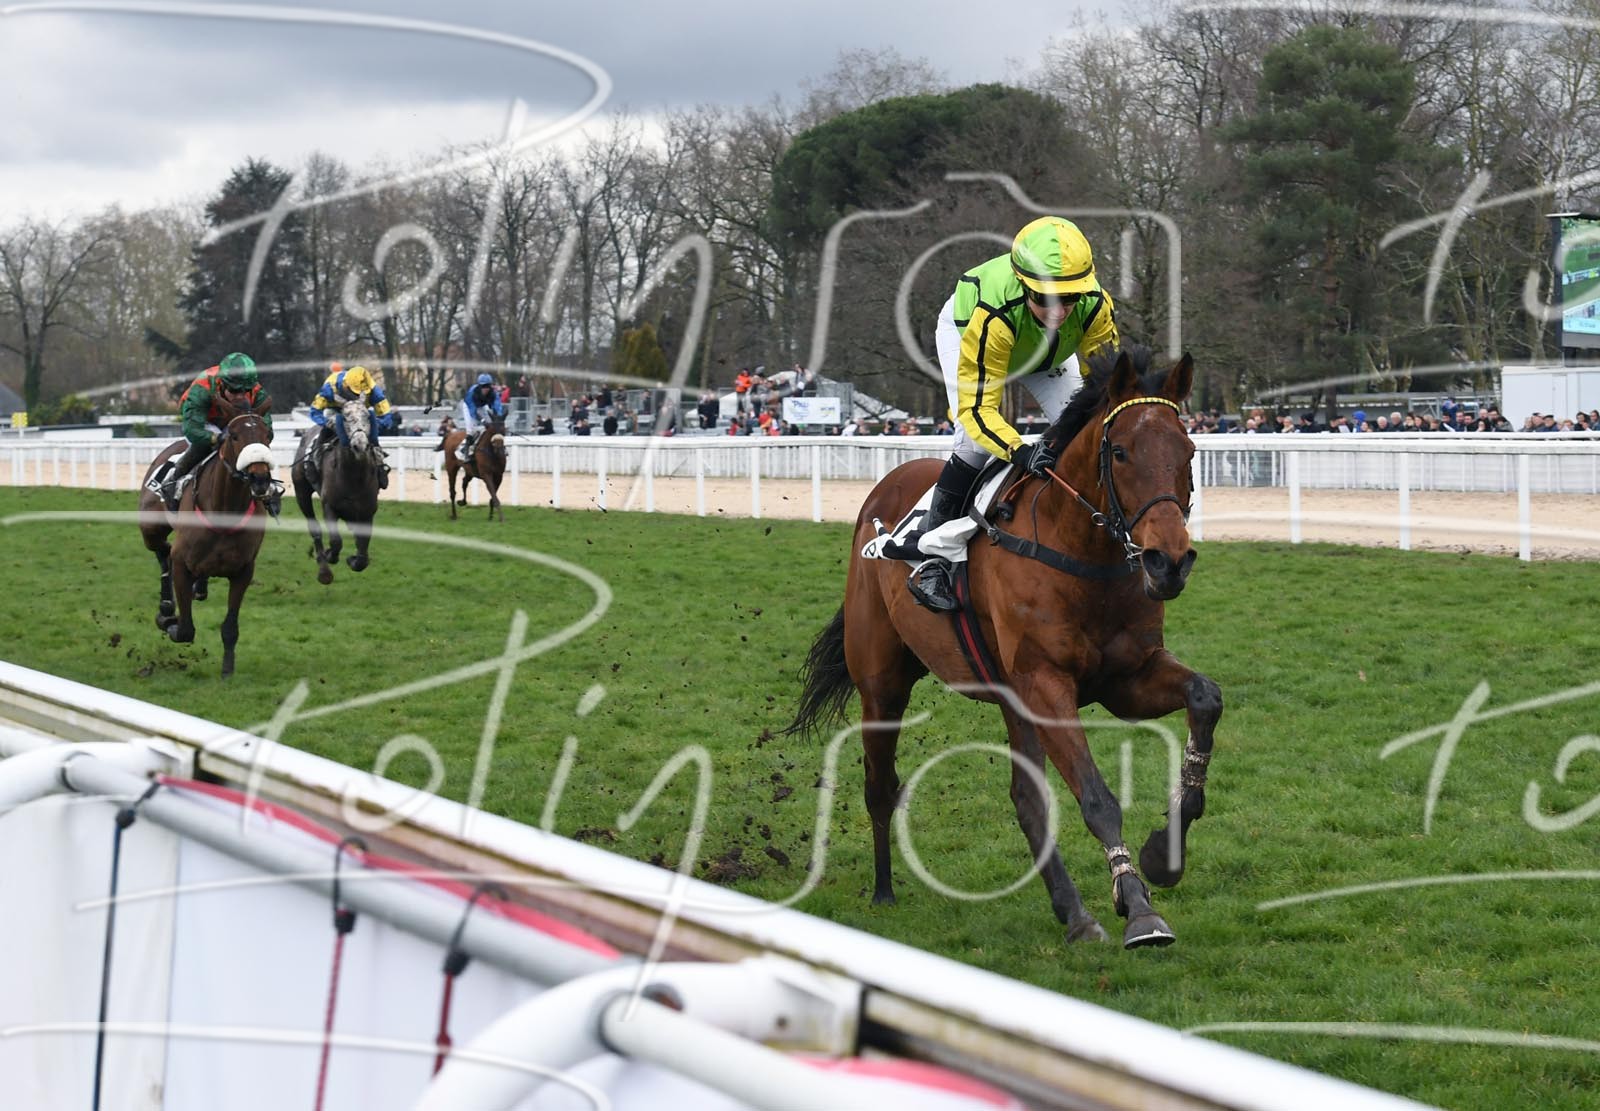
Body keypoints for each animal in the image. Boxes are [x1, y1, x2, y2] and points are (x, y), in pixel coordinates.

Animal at [138, 400, 281, 678]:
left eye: (268, 435)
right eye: (234, 436)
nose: (260, 479)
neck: (224, 510)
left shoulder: (243, 571)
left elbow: (230, 627)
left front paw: (227, 671)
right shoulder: (182, 564)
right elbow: (185, 630)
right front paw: (169, 621)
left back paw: (198, 588)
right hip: (150, 528)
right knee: (163, 552)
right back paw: (166, 607)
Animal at [291, 397, 382, 584]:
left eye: (366, 416)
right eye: (345, 417)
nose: (360, 445)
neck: (353, 476)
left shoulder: (367, 512)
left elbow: (362, 555)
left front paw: (353, 559)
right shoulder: (329, 506)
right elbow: (335, 541)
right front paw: (329, 556)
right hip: (301, 492)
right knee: (314, 528)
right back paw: (323, 569)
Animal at [786, 348, 1221, 950]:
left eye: (1189, 452)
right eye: (1120, 452)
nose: (1169, 562)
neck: (1083, 555)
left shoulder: (1125, 679)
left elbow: (1205, 697)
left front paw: (1164, 852)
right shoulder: (1046, 683)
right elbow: (1097, 797)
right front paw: (1138, 909)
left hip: (1012, 698)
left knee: (1025, 797)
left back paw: (1073, 913)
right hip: (883, 686)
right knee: (881, 785)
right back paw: (884, 891)